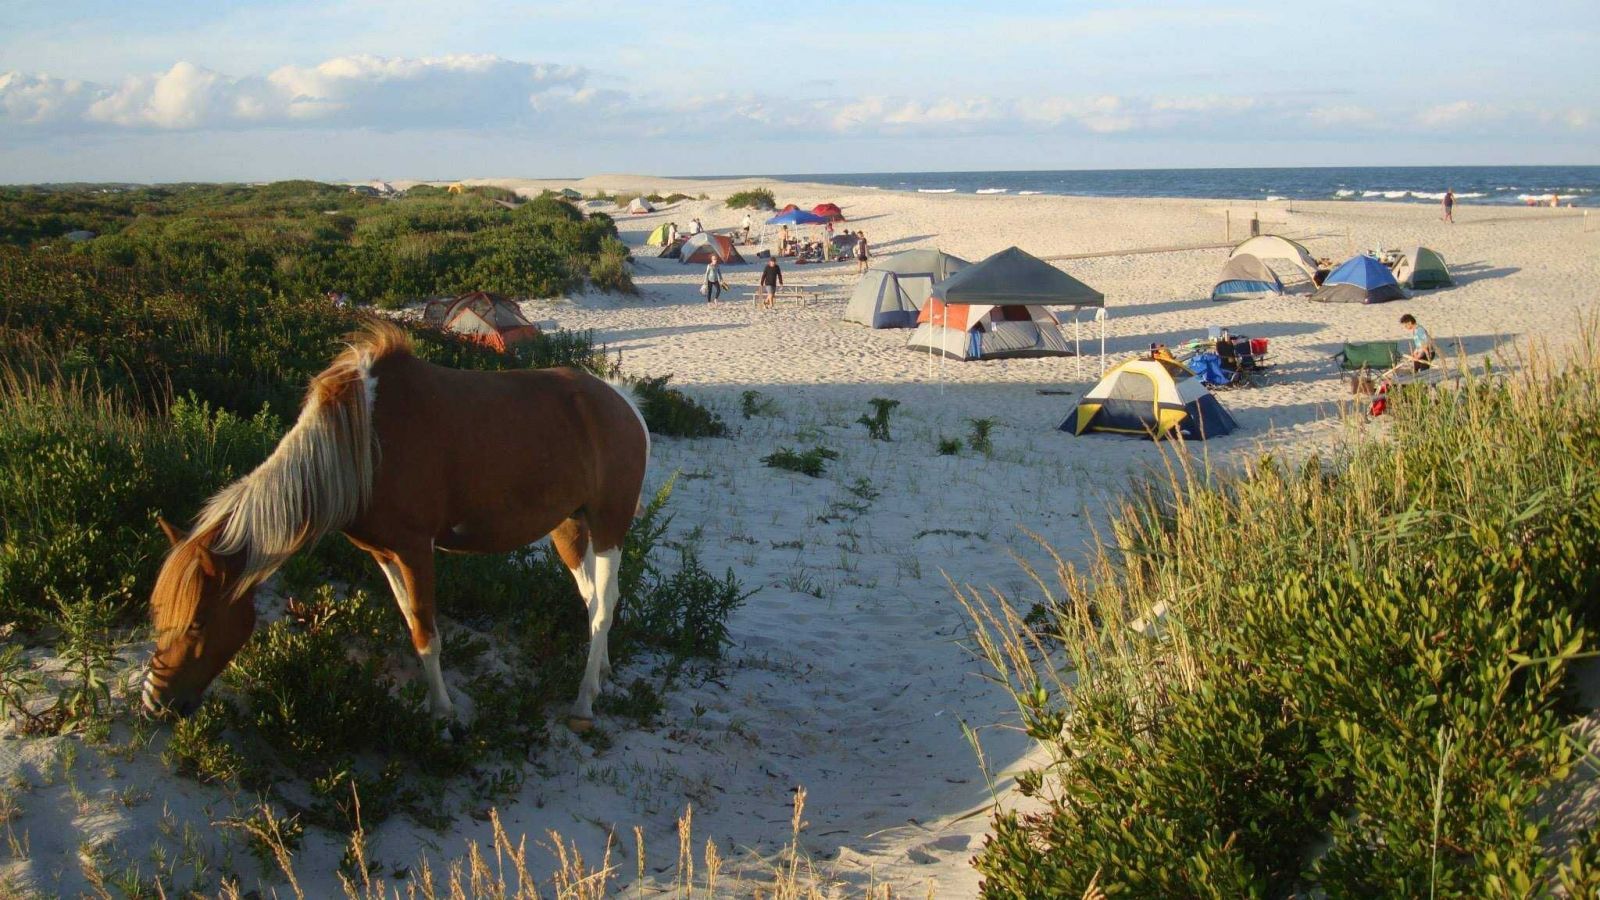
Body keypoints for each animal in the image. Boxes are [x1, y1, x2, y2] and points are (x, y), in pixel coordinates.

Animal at [144, 321, 649, 730]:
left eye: (197, 622)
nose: (154, 703)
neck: (360, 446)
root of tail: (623, 402)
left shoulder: (414, 550)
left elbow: (428, 634)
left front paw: (442, 714)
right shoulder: (383, 554)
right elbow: (411, 623)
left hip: (608, 527)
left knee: (604, 606)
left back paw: (584, 703)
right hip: (569, 528)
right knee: (592, 599)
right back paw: (602, 674)